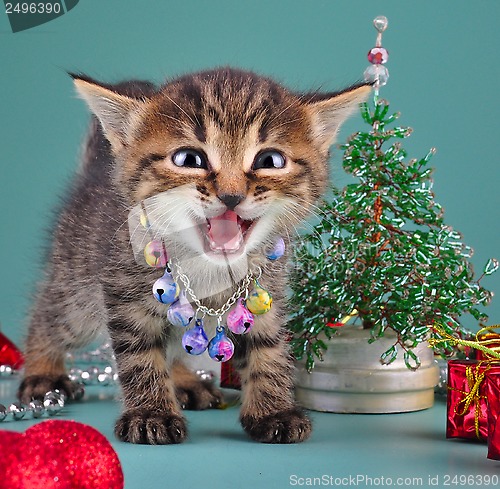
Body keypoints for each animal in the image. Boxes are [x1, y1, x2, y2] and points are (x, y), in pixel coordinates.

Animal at [18, 66, 372, 444]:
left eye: (270, 161)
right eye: (188, 159)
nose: (231, 195)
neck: (209, 267)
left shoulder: (267, 293)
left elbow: (269, 347)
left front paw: (272, 410)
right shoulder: (122, 293)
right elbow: (141, 355)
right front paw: (150, 413)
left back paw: (185, 380)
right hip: (78, 280)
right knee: (52, 315)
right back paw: (43, 372)